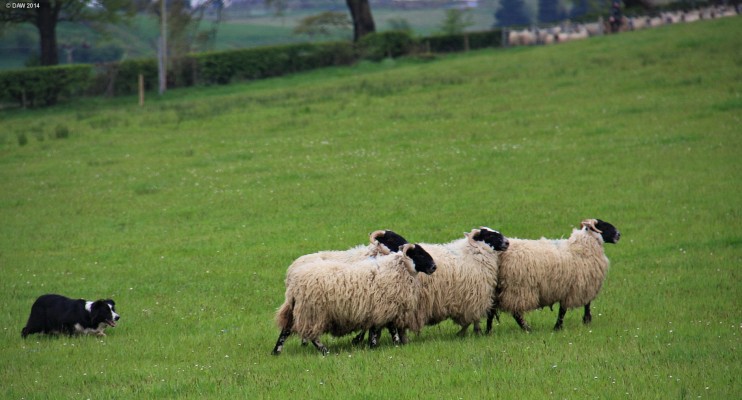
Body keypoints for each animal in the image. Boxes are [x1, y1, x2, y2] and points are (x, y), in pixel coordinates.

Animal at [271, 243, 436, 356]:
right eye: (420, 254)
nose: (434, 267)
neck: (396, 268)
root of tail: (293, 285)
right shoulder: (384, 307)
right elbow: (388, 328)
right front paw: (388, 344)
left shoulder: (378, 310)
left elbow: (378, 329)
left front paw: (373, 344)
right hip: (313, 311)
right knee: (311, 335)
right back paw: (325, 351)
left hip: (298, 310)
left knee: (286, 329)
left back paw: (276, 351)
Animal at [487, 219, 620, 333]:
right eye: (604, 225)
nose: (619, 234)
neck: (584, 246)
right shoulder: (579, 286)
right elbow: (575, 307)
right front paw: (579, 322)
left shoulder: (570, 288)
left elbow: (566, 308)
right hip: (517, 288)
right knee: (515, 313)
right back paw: (527, 329)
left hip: (497, 288)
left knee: (491, 311)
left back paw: (489, 331)